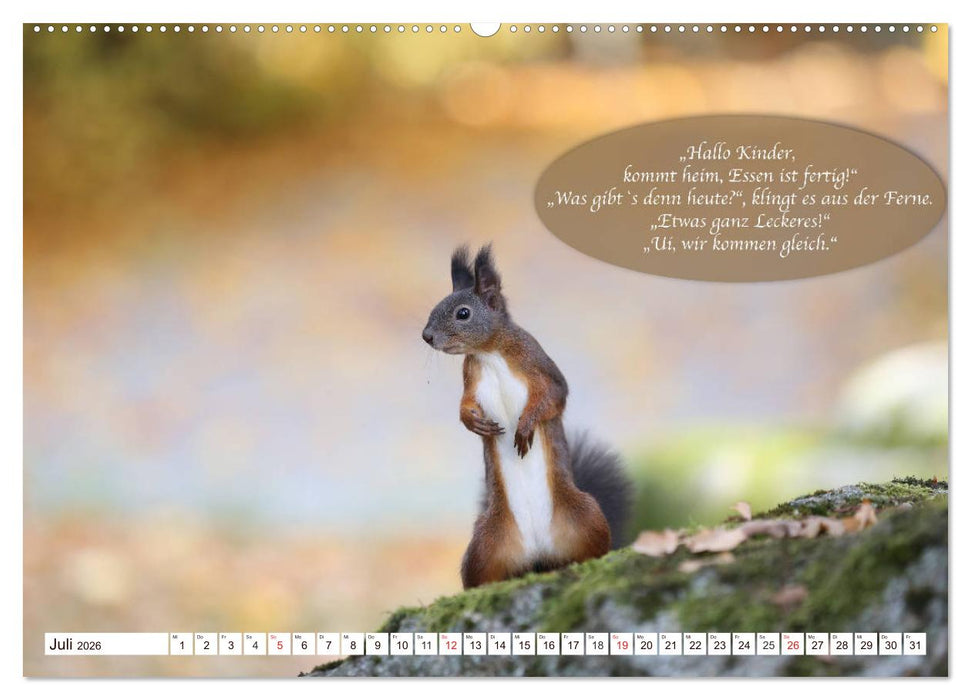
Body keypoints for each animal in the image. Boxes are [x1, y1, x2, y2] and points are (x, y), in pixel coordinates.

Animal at [422, 244, 633, 589]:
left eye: (463, 313)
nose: (426, 336)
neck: (490, 353)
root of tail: (538, 558)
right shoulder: (472, 382)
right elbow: (464, 405)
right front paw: (474, 423)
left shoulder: (540, 365)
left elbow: (554, 397)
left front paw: (526, 426)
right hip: (484, 544)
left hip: (587, 517)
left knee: (594, 549)